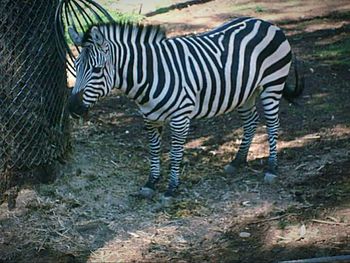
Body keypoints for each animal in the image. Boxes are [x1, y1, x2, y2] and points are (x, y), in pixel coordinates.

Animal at [67, 17, 304, 200]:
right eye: (76, 67)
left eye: (97, 69)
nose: (72, 108)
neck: (150, 74)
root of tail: (267, 23)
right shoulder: (150, 118)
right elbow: (154, 150)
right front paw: (151, 183)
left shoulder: (180, 118)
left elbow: (175, 153)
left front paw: (171, 188)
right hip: (246, 92)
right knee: (251, 121)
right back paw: (237, 162)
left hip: (272, 84)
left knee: (272, 123)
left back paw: (271, 168)